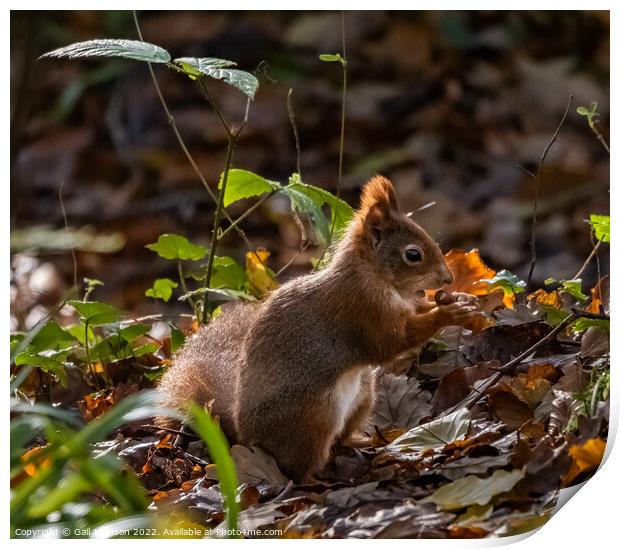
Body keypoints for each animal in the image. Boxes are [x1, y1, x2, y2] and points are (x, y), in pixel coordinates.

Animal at [156, 174, 480, 480]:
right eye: (413, 254)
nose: (447, 279)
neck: (374, 275)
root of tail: (246, 438)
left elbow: (415, 313)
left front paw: (464, 300)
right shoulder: (362, 309)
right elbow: (390, 343)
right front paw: (448, 313)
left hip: (363, 395)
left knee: (341, 438)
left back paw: (360, 442)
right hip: (314, 417)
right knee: (299, 469)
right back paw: (318, 479)